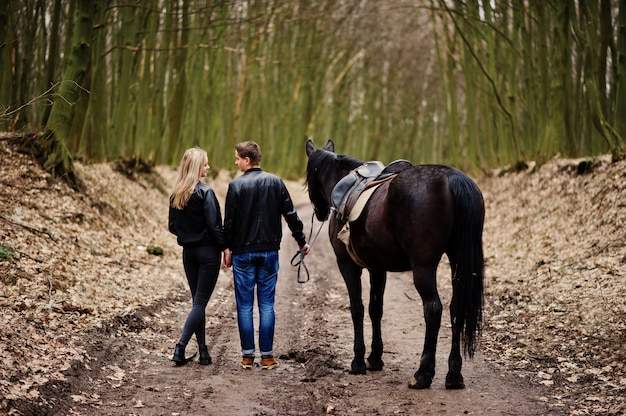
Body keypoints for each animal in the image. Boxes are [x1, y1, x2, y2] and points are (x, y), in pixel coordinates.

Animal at [304, 140, 486, 390]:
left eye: (307, 176)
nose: (320, 213)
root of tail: (452, 178)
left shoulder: (348, 266)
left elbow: (357, 309)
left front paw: (358, 361)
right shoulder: (377, 268)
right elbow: (375, 309)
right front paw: (374, 358)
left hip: (423, 267)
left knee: (433, 308)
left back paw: (423, 374)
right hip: (458, 261)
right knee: (456, 308)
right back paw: (454, 374)